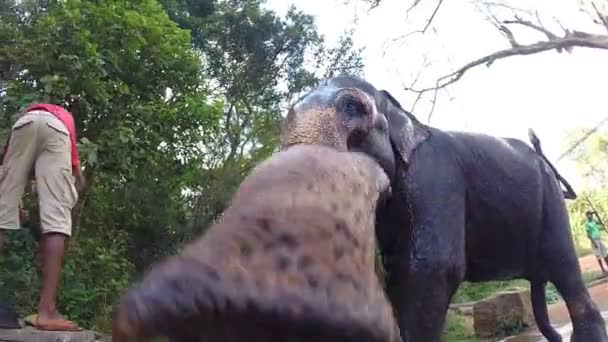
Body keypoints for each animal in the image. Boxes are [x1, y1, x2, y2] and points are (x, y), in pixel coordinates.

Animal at [282, 75, 608, 342]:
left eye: (352, 107)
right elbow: (394, 272)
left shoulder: (435, 178)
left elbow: (431, 267)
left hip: (550, 201)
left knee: (563, 267)